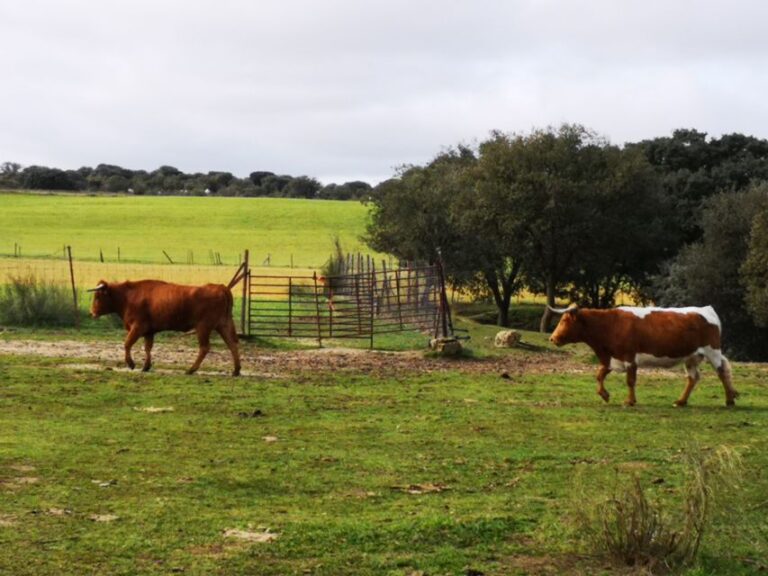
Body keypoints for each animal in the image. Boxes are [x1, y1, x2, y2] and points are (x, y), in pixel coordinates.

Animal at [88, 280, 242, 378]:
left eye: (97, 296)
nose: (92, 313)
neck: (128, 296)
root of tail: (220, 287)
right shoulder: (149, 331)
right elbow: (147, 348)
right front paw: (146, 366)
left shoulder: (137, 327)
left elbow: (127, 344)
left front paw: (131, 364)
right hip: (224, 325)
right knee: (232, 344)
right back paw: (236, 370)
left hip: (203, 327)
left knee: (205, 348)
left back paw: (191, 370)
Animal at [548, 304, 736, 408]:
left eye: (564, 321)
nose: (552, 338)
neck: (609, 324)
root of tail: (706, 309)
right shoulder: (613, 357)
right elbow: (599, 375)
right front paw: (604, 394)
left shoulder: (629, 357)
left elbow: (630, 380)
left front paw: (629, 401)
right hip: (691, 357)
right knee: (693, 378)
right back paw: (681, 401)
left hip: (712, 351)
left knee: (722, 372)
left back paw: (729, 400)